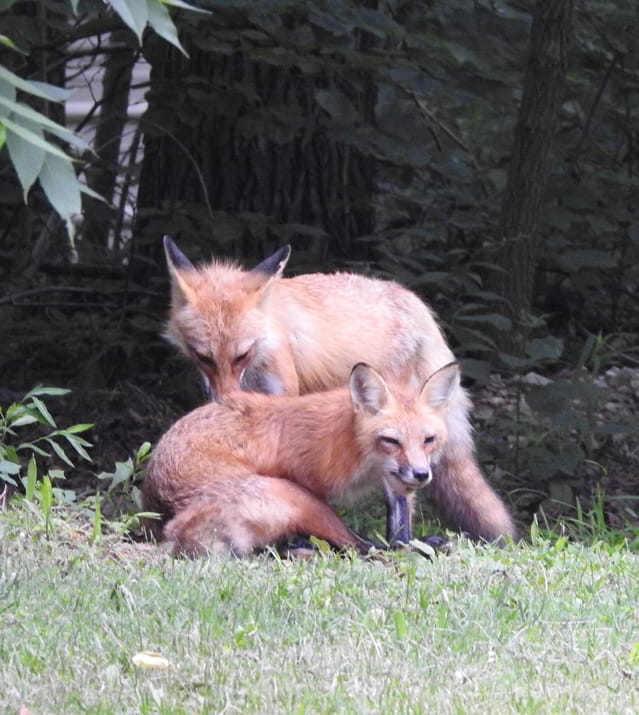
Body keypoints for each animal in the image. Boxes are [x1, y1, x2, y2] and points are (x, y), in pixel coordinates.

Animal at [143, 362, 461, 556]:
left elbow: (399, 523)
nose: (421, 475)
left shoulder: (394, 481)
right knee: (357, 547)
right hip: (296, 497)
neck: (356, 450)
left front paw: (408, 540)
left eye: (429, 440)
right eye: (392, 441)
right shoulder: (307, 479)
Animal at [162, 237, 516, 543]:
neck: (266, 342)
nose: (227, 399)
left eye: (242, 355)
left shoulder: (283, 400)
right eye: (203, 357)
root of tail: (412, 300)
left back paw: (401, 542)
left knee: (401, 498)